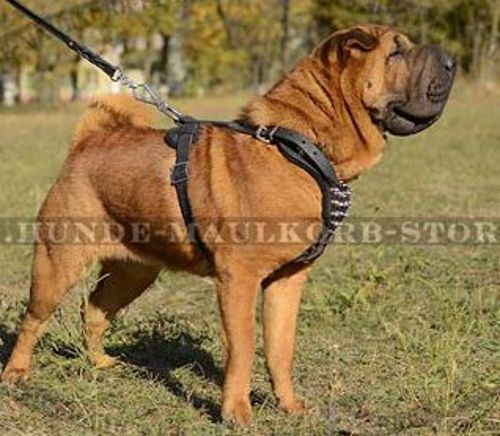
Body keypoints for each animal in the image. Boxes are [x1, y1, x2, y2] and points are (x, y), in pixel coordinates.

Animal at [0, 25, 456, 424]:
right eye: (395, 53)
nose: (451, 60)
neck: (301, 145)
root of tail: (86, 142)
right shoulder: (239, 278)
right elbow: (245, 346)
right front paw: (237, 412)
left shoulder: (288, 281)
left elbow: (280, 347)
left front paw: (289, 405)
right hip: (57, 262)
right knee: (34, 319)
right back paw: (17, 374)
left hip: (134, 272)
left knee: (94, 309)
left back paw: (101, 362)